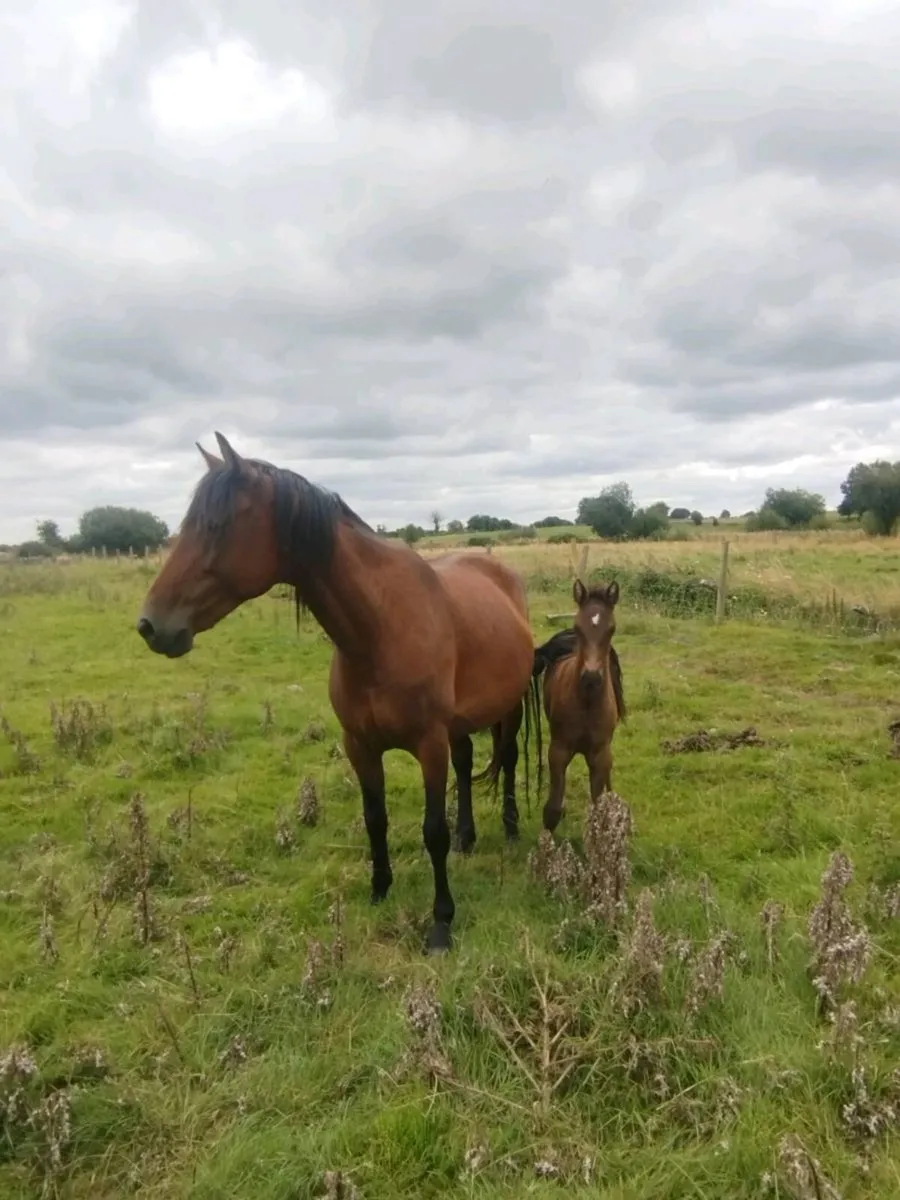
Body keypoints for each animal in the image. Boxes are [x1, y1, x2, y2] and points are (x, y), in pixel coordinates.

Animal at [135, 432, 538, 954]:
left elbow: (433, 831)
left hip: (506, 708)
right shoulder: (359, 745)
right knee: (468, 763)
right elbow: (375, 818)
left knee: (506, 759)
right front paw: (379, 889)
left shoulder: (429, 745)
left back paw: (509, 828)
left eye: (217, 526)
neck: (380, 631)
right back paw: (469, 838)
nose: (151, 625)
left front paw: (441, 924)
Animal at [531, 578, 625, 833]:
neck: (587, 704)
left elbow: (598, 810)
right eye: (578, 627)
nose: (591, 677)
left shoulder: (600, 755)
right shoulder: (558, 750)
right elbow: (552, 810)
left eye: (611, 629)